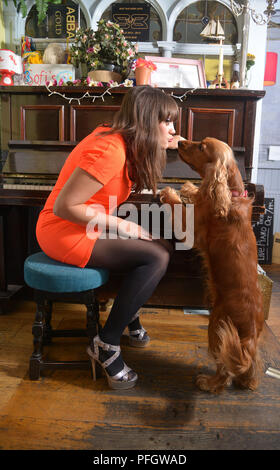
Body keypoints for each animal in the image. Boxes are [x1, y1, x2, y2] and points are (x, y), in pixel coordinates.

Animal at [160, 137, 264, 392]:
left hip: (217, 325)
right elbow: (198, 192)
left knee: (225, 368)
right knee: (249, 364)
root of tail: (251, 332)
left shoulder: (192, 230)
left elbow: (178, 207)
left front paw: (169, 191)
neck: (231, 193)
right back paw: (248, 382)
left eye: (201, 147)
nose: (180, 142)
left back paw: (209, 383)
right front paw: (189, 188)